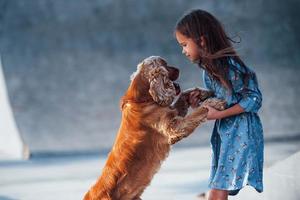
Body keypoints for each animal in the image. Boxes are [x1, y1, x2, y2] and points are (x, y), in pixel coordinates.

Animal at [83, 55, 224, 199]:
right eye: (165, 65)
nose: (178, 69)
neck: (141, 100)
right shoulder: (173, 128)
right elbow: (196, 113)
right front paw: (212, 103)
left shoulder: (173, 113)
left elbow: (184, 94)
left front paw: (202, 93)